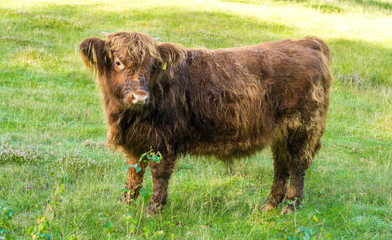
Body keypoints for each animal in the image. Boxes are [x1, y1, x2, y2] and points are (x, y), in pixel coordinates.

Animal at [79, 32, 330, 215]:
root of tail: (307, 42)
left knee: (297, 165)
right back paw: (269, 205)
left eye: (152, 66)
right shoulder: (135, 141)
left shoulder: (164, 140)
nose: (140, 96)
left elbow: (159, 174)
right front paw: (126, 202)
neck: (129, 117)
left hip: (302, 128)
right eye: (118, 62)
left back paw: (290, 206)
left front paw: (154, 209)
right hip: (280, 133)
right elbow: (134, 172)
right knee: (281, 166)